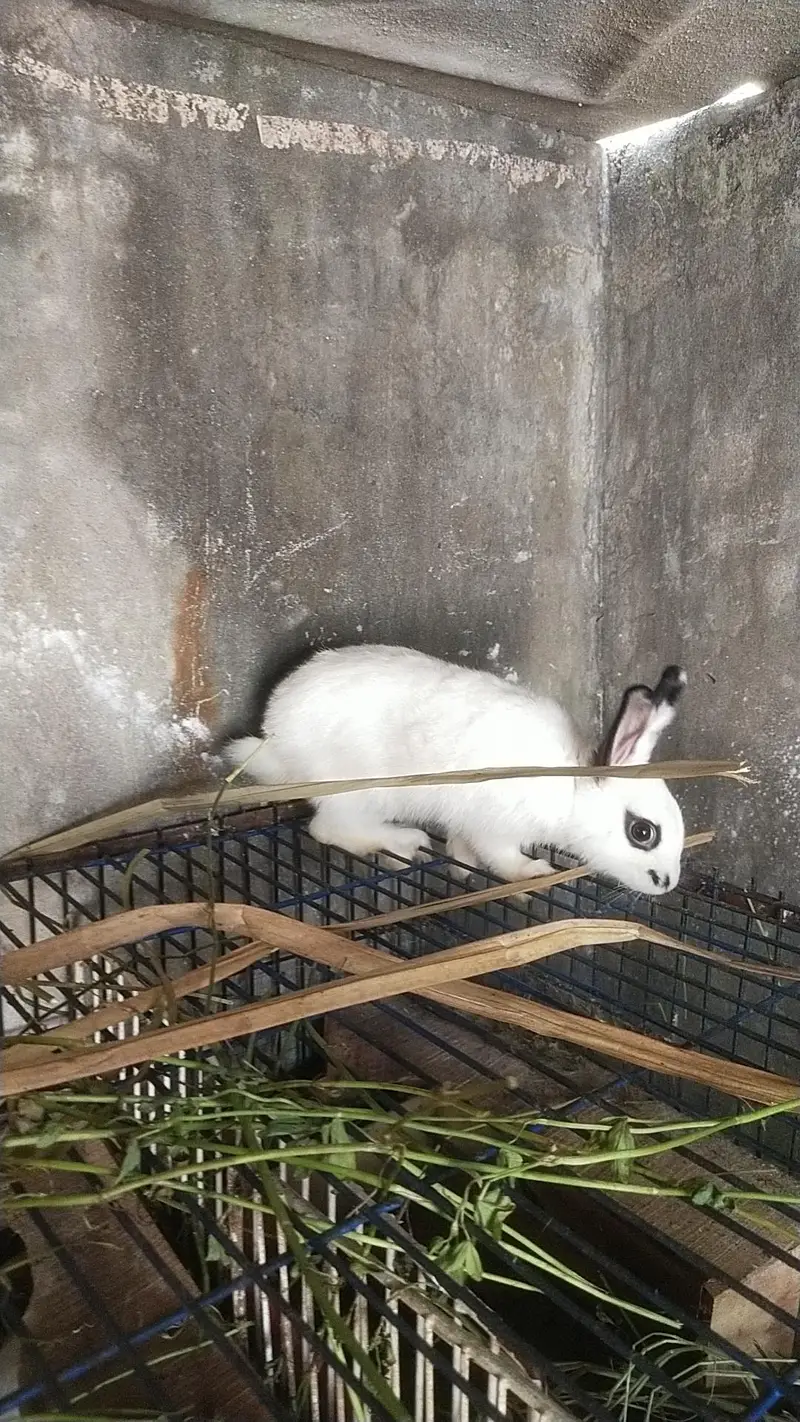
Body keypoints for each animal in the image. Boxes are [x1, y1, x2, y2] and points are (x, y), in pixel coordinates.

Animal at [225, 645, 686, 896]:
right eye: (642, 832)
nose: (667, 883)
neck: (570, 787)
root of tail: (276, 738)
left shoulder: (467, 823)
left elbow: (463, 847)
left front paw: (461, 868)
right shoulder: (495, 826)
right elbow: (503, 859)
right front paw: (535, 874)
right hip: (361, 793)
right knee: (328, 829)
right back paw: (404, 843)